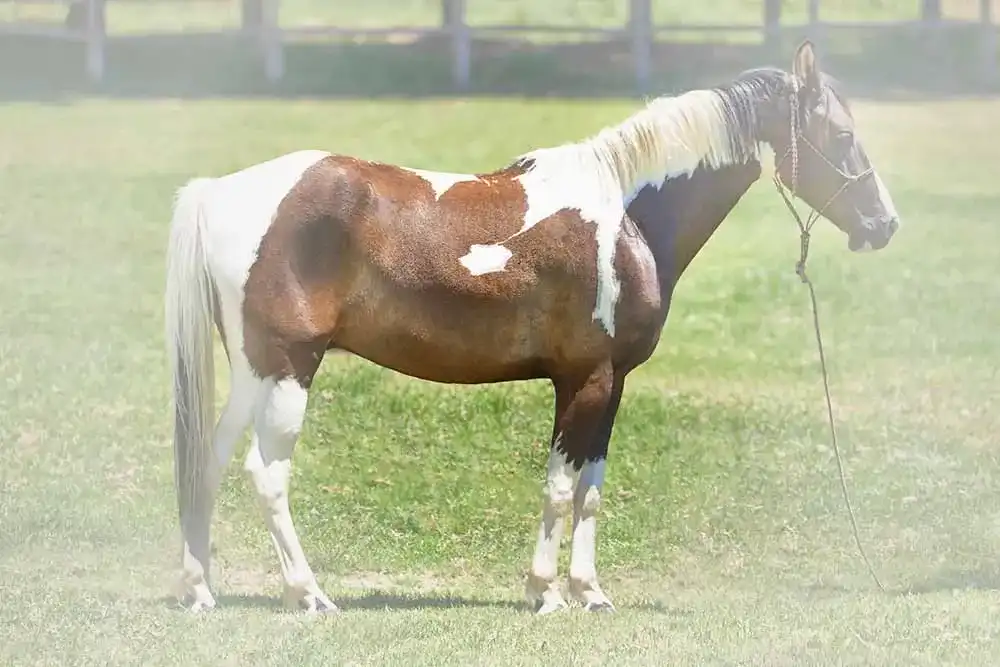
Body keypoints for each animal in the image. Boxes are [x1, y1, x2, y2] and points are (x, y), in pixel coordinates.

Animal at [164, 41, 900, 615]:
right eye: (839, 135)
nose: (884, 223)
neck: (624, 217)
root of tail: (222, 190)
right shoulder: (585, 379)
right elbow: (560, 485)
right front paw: (546, 591)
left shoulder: (611, 383)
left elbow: (591, 491)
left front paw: (589, 591)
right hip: (291, 368)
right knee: (266, 472)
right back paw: (309, 593)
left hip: (254, 370)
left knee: (211, 458)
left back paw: (200, 589)